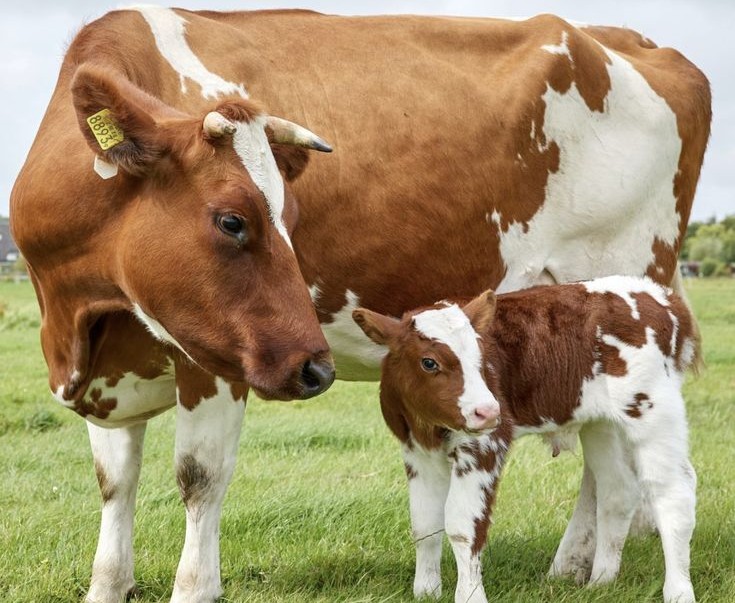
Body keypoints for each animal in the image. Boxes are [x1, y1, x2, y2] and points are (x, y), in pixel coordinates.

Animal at [352, 275, 697, 603]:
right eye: (429, 362)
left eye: (481, 358)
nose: (487, 411)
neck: (429, 426)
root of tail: (662, 297)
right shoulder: (416, 451)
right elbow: (424, 523)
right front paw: (426, 591)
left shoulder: (484, 445)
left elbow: (463, 526)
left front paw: (470, 595)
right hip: (601, 422)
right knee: (618, 489)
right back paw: (600, 582)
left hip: (653, 409)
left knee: (673, 491)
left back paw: (678, 591)